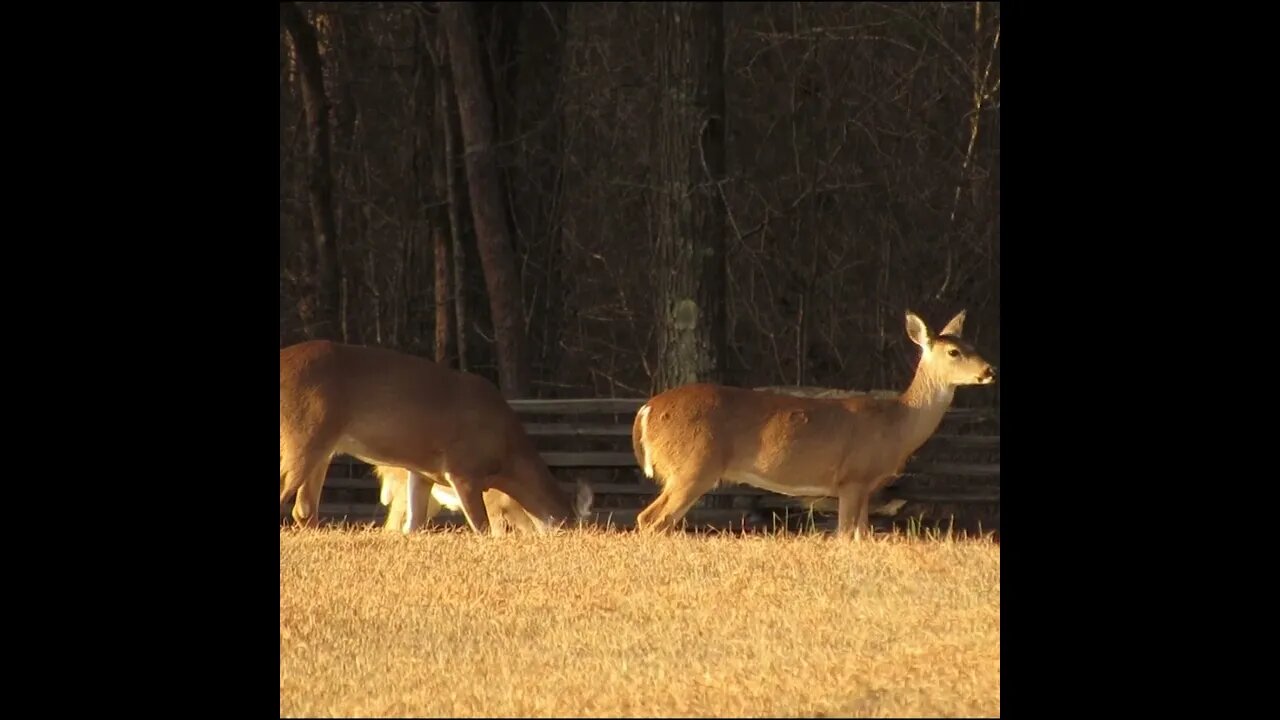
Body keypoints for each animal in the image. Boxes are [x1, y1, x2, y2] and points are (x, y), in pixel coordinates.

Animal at [634, 308, 993, 538]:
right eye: (953, 352)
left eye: (973, 345)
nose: (989, 371)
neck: (896, 425)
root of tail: (646, 410)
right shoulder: (852, 477)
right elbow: (846, 536)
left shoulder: (867, 486)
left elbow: (863, 536)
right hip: (692, 466)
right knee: (650, 519)